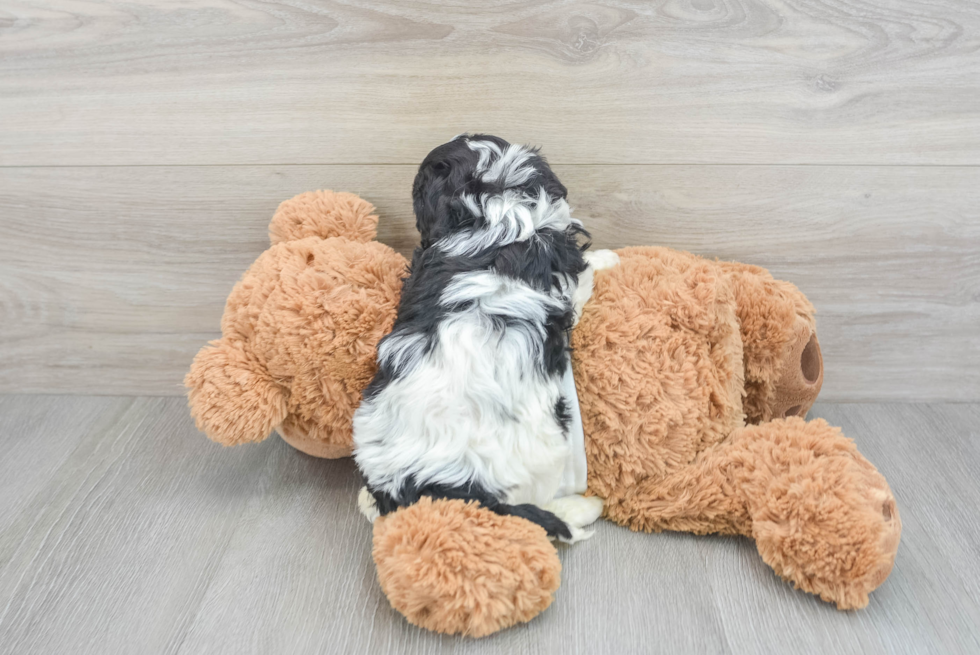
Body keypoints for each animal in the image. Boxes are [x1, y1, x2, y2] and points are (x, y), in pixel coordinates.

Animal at [352, 135, 612, 544]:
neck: (494, 206)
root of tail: (437, 484)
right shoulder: (570, 277)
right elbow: (587, 277)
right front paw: (610, 258)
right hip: (547, 450)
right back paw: (585, 507)